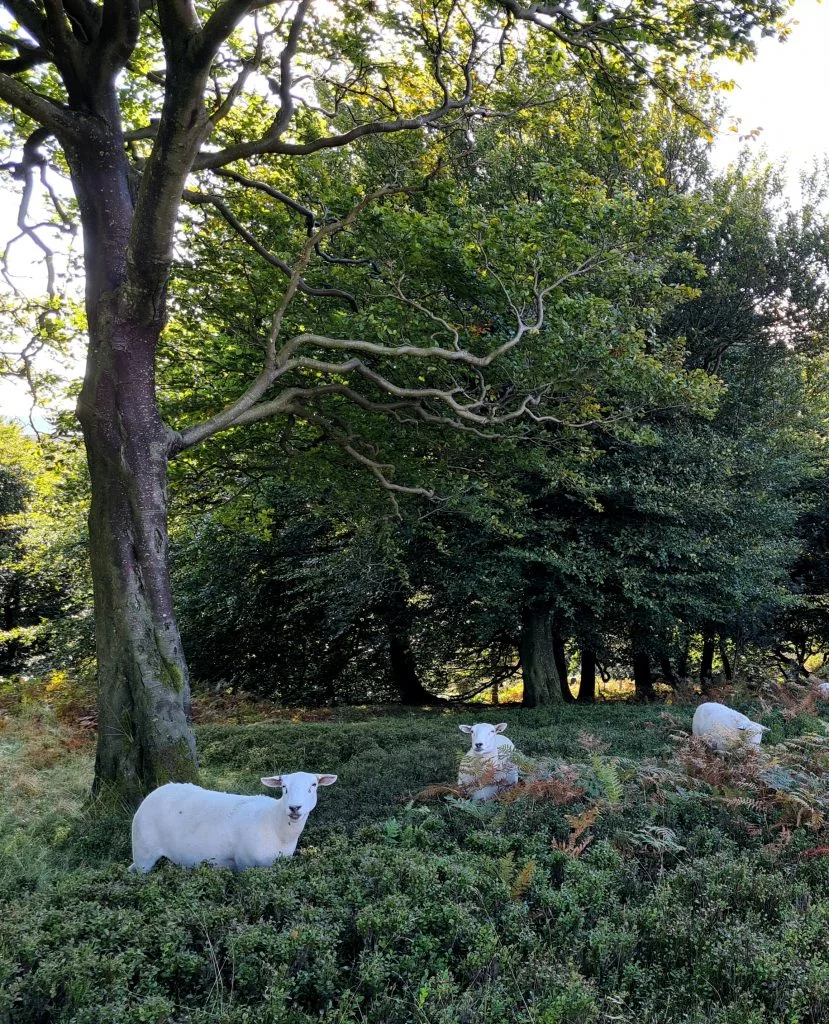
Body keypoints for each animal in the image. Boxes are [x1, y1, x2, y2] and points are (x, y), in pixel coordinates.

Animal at [129, 771, 337, 872]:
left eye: (314, 785)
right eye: (284, 787)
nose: (294, 808)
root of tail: (152, 794)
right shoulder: (244, 863)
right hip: (143, 853)